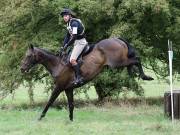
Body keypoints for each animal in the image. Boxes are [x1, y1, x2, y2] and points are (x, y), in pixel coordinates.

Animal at [20, 37, 153, 121]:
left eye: (29, 56)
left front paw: (40, 118)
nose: (22, 68)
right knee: (133, 62)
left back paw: (146, 76)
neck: (57, 65)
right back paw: (137, 74)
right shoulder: (68, 89)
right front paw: (71, 121)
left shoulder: (59, 87)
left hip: (117, 62)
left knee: (137, 59)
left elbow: (49, 102)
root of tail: (117, 39)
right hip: (120, 62)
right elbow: (71, 105)